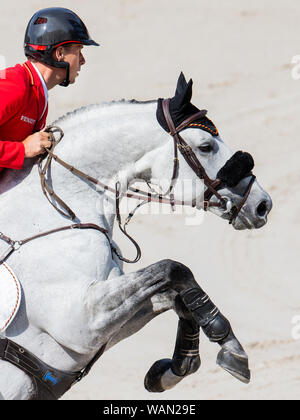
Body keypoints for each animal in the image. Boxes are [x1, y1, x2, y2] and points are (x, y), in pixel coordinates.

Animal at [0, 73, 272, 400]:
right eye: (206, 146)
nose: (262, 204)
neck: (58, 208)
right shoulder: (79, 321)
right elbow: (174, 268)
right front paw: (228, 345)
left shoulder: (105, 325)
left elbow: (177, 296)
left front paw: (174, 369)